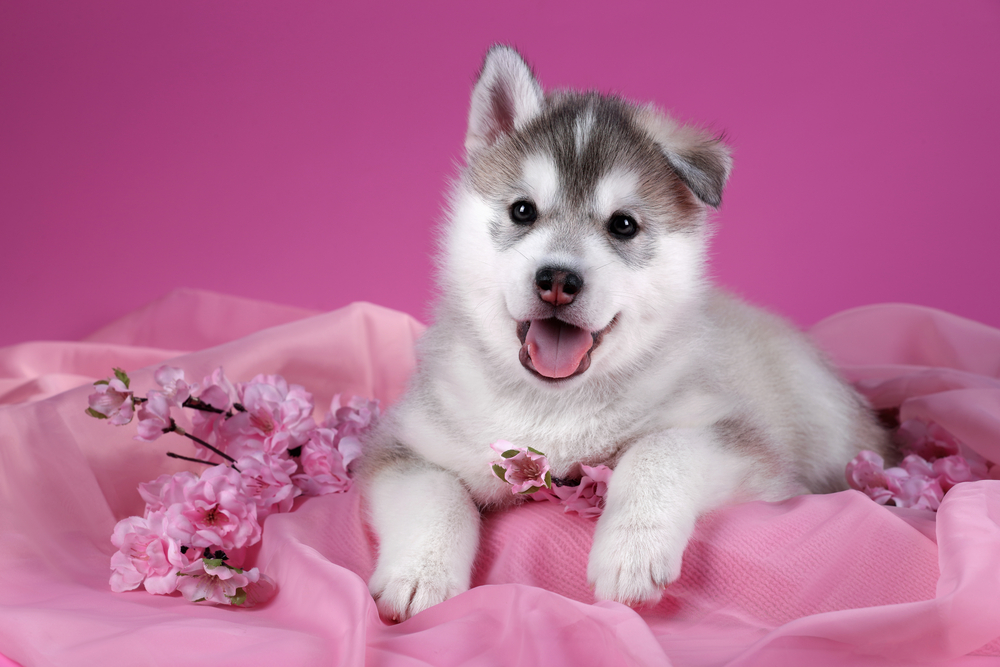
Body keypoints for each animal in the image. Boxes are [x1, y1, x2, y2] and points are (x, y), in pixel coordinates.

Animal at [362, 45, 892, 620]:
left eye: (623, 225)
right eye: (522, 211)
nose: (557, 280)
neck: (554, 408)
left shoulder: (738, 443)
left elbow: (659, 450)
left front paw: (632, 552)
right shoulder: (407, 443)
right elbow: (435, 493)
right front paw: (421, 573)